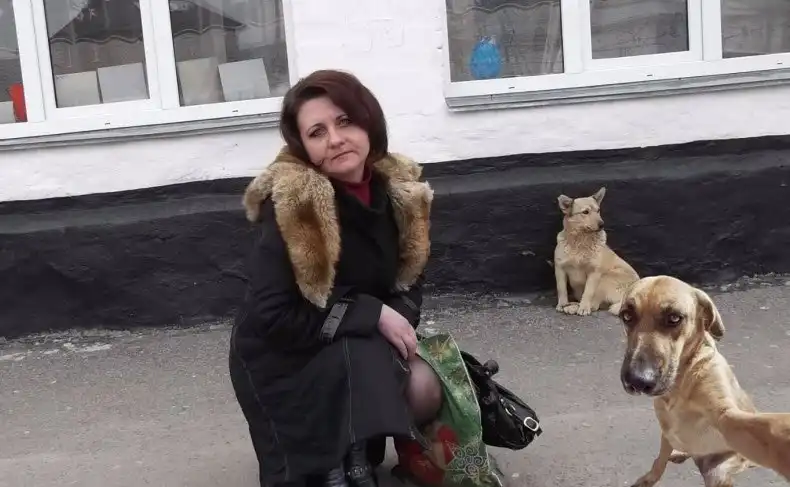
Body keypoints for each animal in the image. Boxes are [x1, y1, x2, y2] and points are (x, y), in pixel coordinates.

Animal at [553, 187, 639, 316]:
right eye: (585, 212)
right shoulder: (560, 268)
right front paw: (562, 304)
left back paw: (575, 306)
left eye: (598, 211)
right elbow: (561, 288)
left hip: (606, 277)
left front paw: (584, 307)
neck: (581, 242)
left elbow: (588, 292)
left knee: (594, 305)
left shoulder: (594, 272)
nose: (602, 224)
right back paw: (571, 305)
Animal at [619, 275, 790, 486]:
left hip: (718, 471)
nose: (637, 381)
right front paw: (649, 478)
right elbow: (659, 461)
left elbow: (765, 426)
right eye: (626, 316)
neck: (680, 383)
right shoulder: (666, 431)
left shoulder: (726, 415)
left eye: (674, 318)